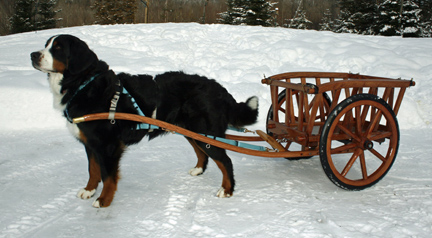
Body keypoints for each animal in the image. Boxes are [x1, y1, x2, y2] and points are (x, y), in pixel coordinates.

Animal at [31, 34, 260, 207]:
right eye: (46, 45)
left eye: (58, 48)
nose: (33, 54)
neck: (83, 84)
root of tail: (219, 88)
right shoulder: (90, 143)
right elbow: (93, 170)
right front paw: (88, 190)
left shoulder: (107, 145)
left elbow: (108, 176)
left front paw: (104, 200)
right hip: (191, 131)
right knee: (202, 153)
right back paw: (198, 170)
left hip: (206, 134)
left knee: (225, 161)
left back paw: (227, 189)